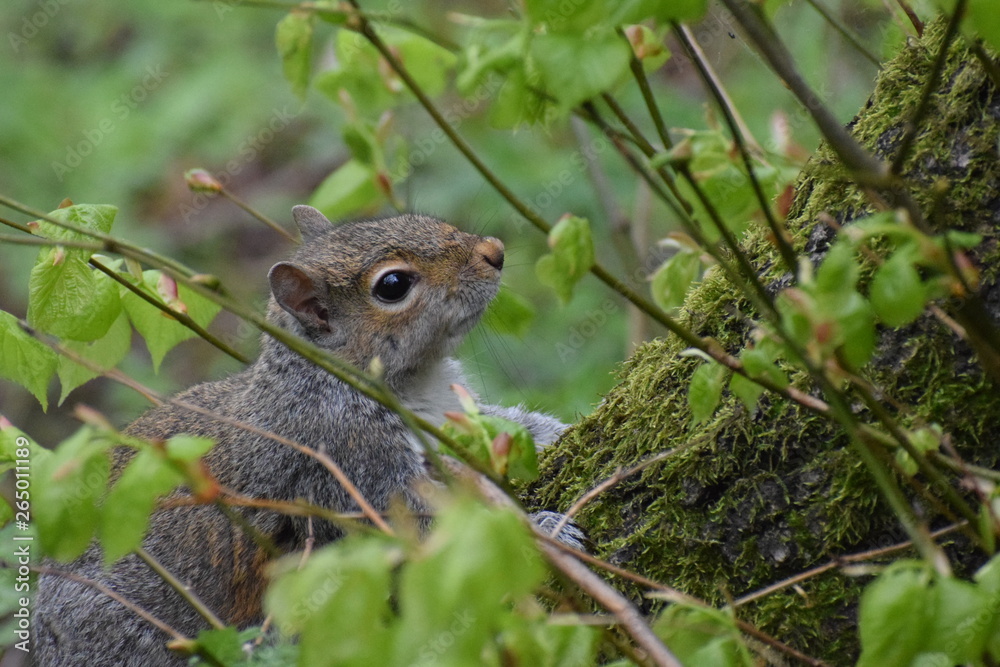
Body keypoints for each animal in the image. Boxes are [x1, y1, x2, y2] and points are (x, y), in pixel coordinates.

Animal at [32, 206, 571, 666]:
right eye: (394, 285)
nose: (495, 251)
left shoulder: (453, 418)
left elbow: (514, 430)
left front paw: (561, 434)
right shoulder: (348, 460)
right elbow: (427, 529)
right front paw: (547, 530)